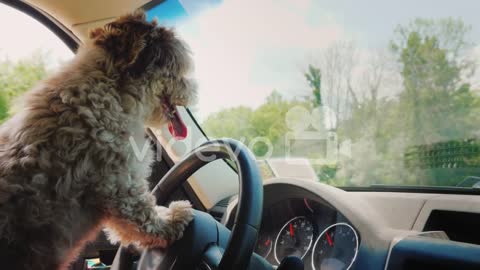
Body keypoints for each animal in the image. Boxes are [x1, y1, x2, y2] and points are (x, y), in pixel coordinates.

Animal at [0, 9, 197, 268]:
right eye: (177, 69)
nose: (195, 90)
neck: (108, 92)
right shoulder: (119, 183)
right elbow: (143, 215)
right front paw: (171, 219)